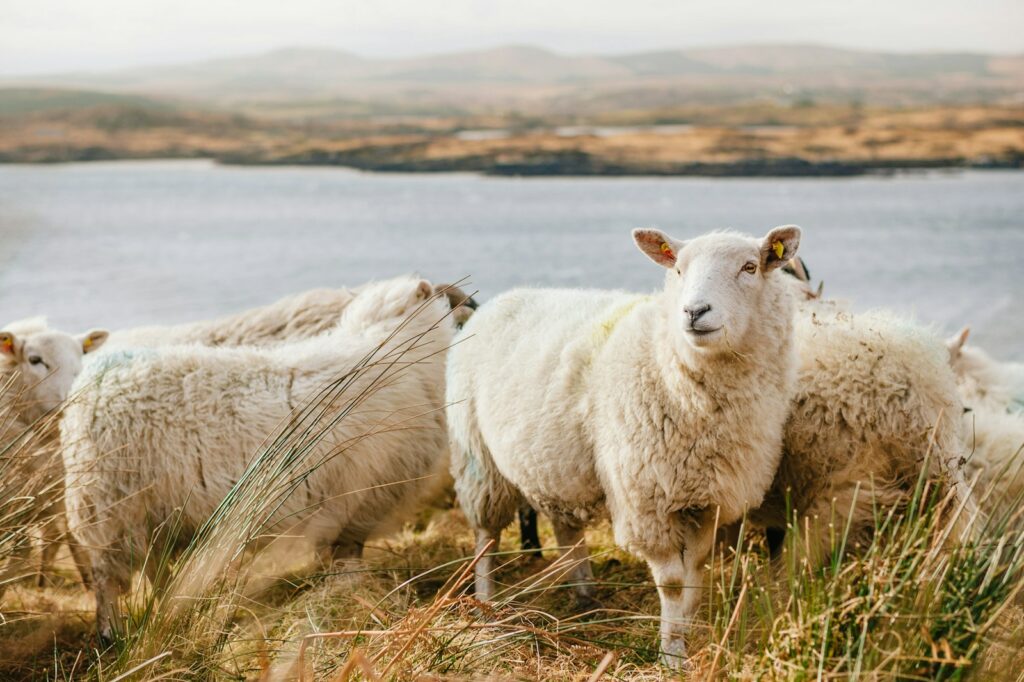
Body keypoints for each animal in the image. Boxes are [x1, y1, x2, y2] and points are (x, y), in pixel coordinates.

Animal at [60, 275, 456, 640]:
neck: (393, 348)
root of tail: (88, 385)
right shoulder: (356, 502)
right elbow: (347, 559)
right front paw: (350, 597)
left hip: (151, 515)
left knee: (155, 570)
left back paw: (166, 614)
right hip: (110, 507)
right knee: (106, 579)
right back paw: (111, 634)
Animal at [448, 226, 803, 670]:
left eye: (750, 267)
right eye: (678, 269)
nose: (694, 312)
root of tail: (498, 301)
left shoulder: (707, 499)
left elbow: (695, 573)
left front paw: (686, 630)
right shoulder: (647, 500)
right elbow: (673, 583)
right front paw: (671, 655)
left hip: (555, 464)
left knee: (567, 529)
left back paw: (586, 596)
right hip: (477, 458)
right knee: (486, 537)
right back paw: (486, 607)